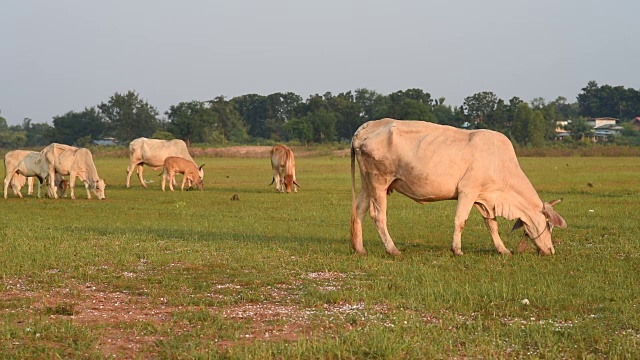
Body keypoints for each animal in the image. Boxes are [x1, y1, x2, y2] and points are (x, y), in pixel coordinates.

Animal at [350, 119, 564, 258]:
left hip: (367, 183)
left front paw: (503, 249)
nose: (550, 251)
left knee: (359, 210)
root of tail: (366, 127)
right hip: (379, 182)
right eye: (549, 225)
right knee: (378, 216)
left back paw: (359, 248)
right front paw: (457, 250)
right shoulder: (467, 192)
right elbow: (460, 221)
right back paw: (393, 250)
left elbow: (492, 225)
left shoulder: (483, 199)